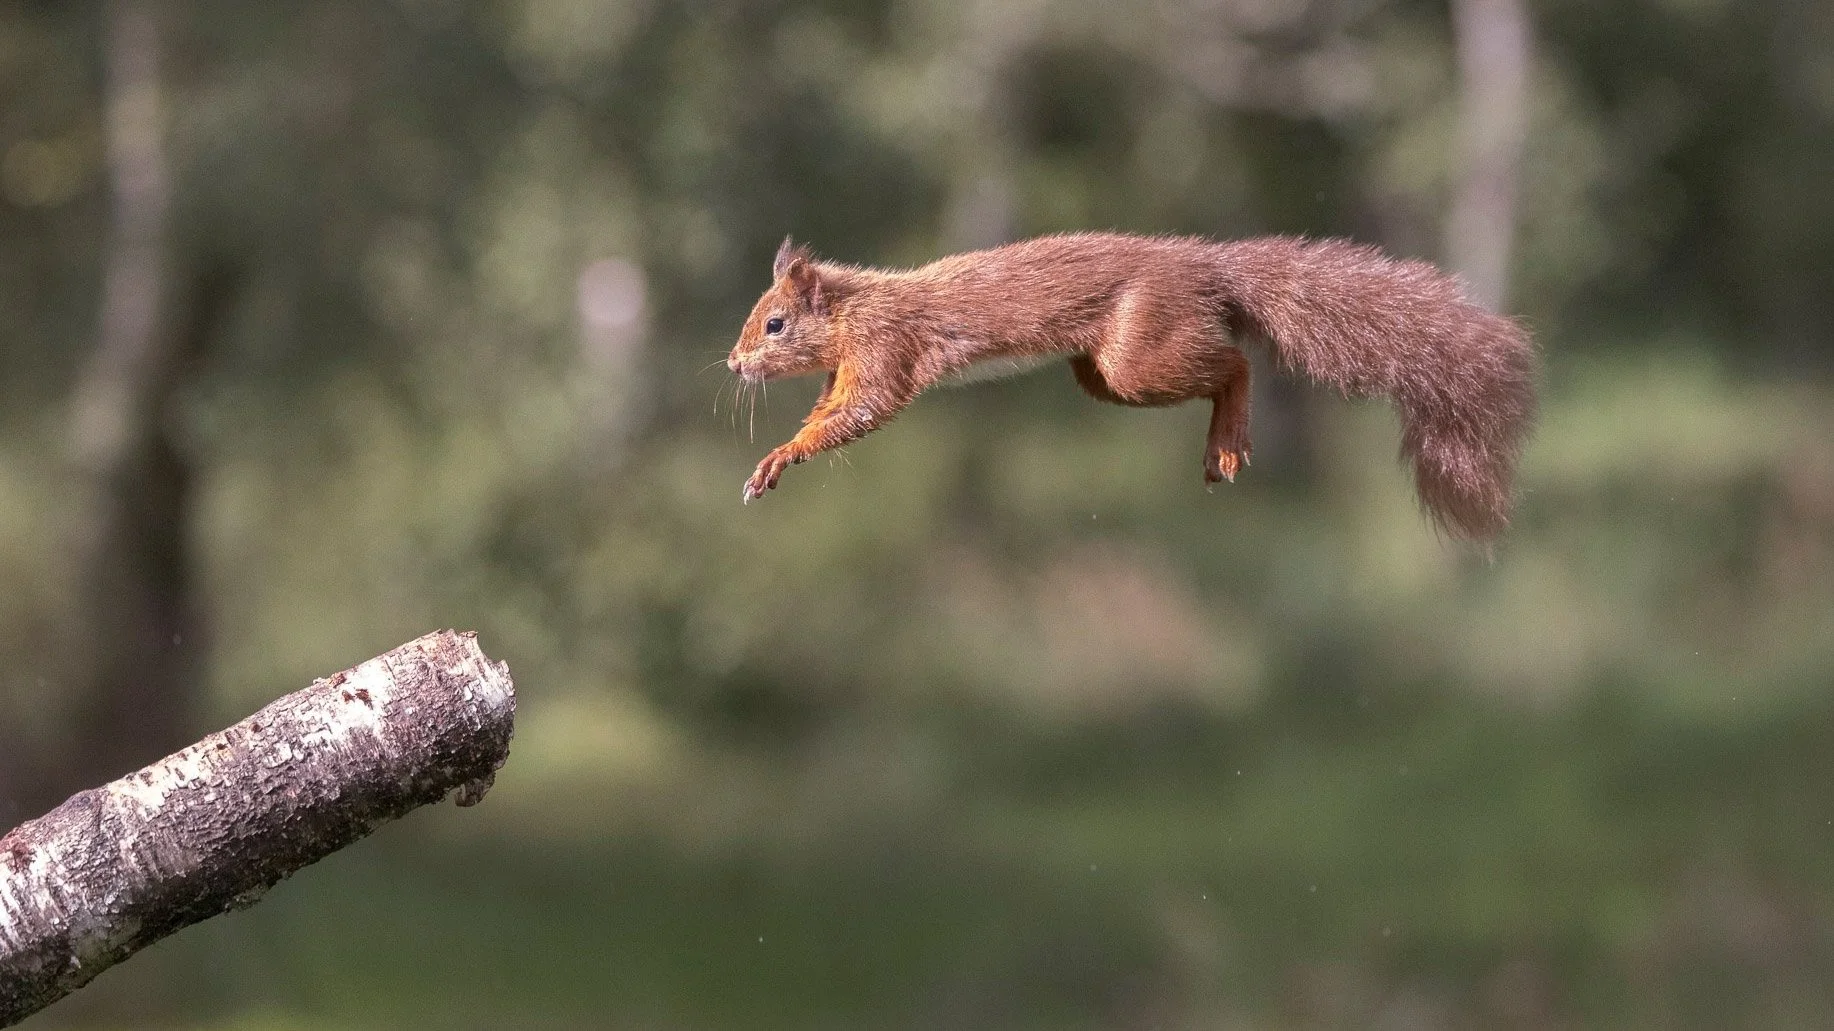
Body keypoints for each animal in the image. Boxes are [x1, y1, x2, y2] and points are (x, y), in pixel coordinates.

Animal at [727, 232, 1536, 541]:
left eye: (774, 324)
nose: (733, 365)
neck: (858, 306)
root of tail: (1205, 266)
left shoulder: (886, 349)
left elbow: (862, 410)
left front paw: (777, 456)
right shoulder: (851, 363)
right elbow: (836, 407)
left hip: (1138, 356)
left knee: (1237, 364)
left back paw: (1230, 440)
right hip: (1103, 376)